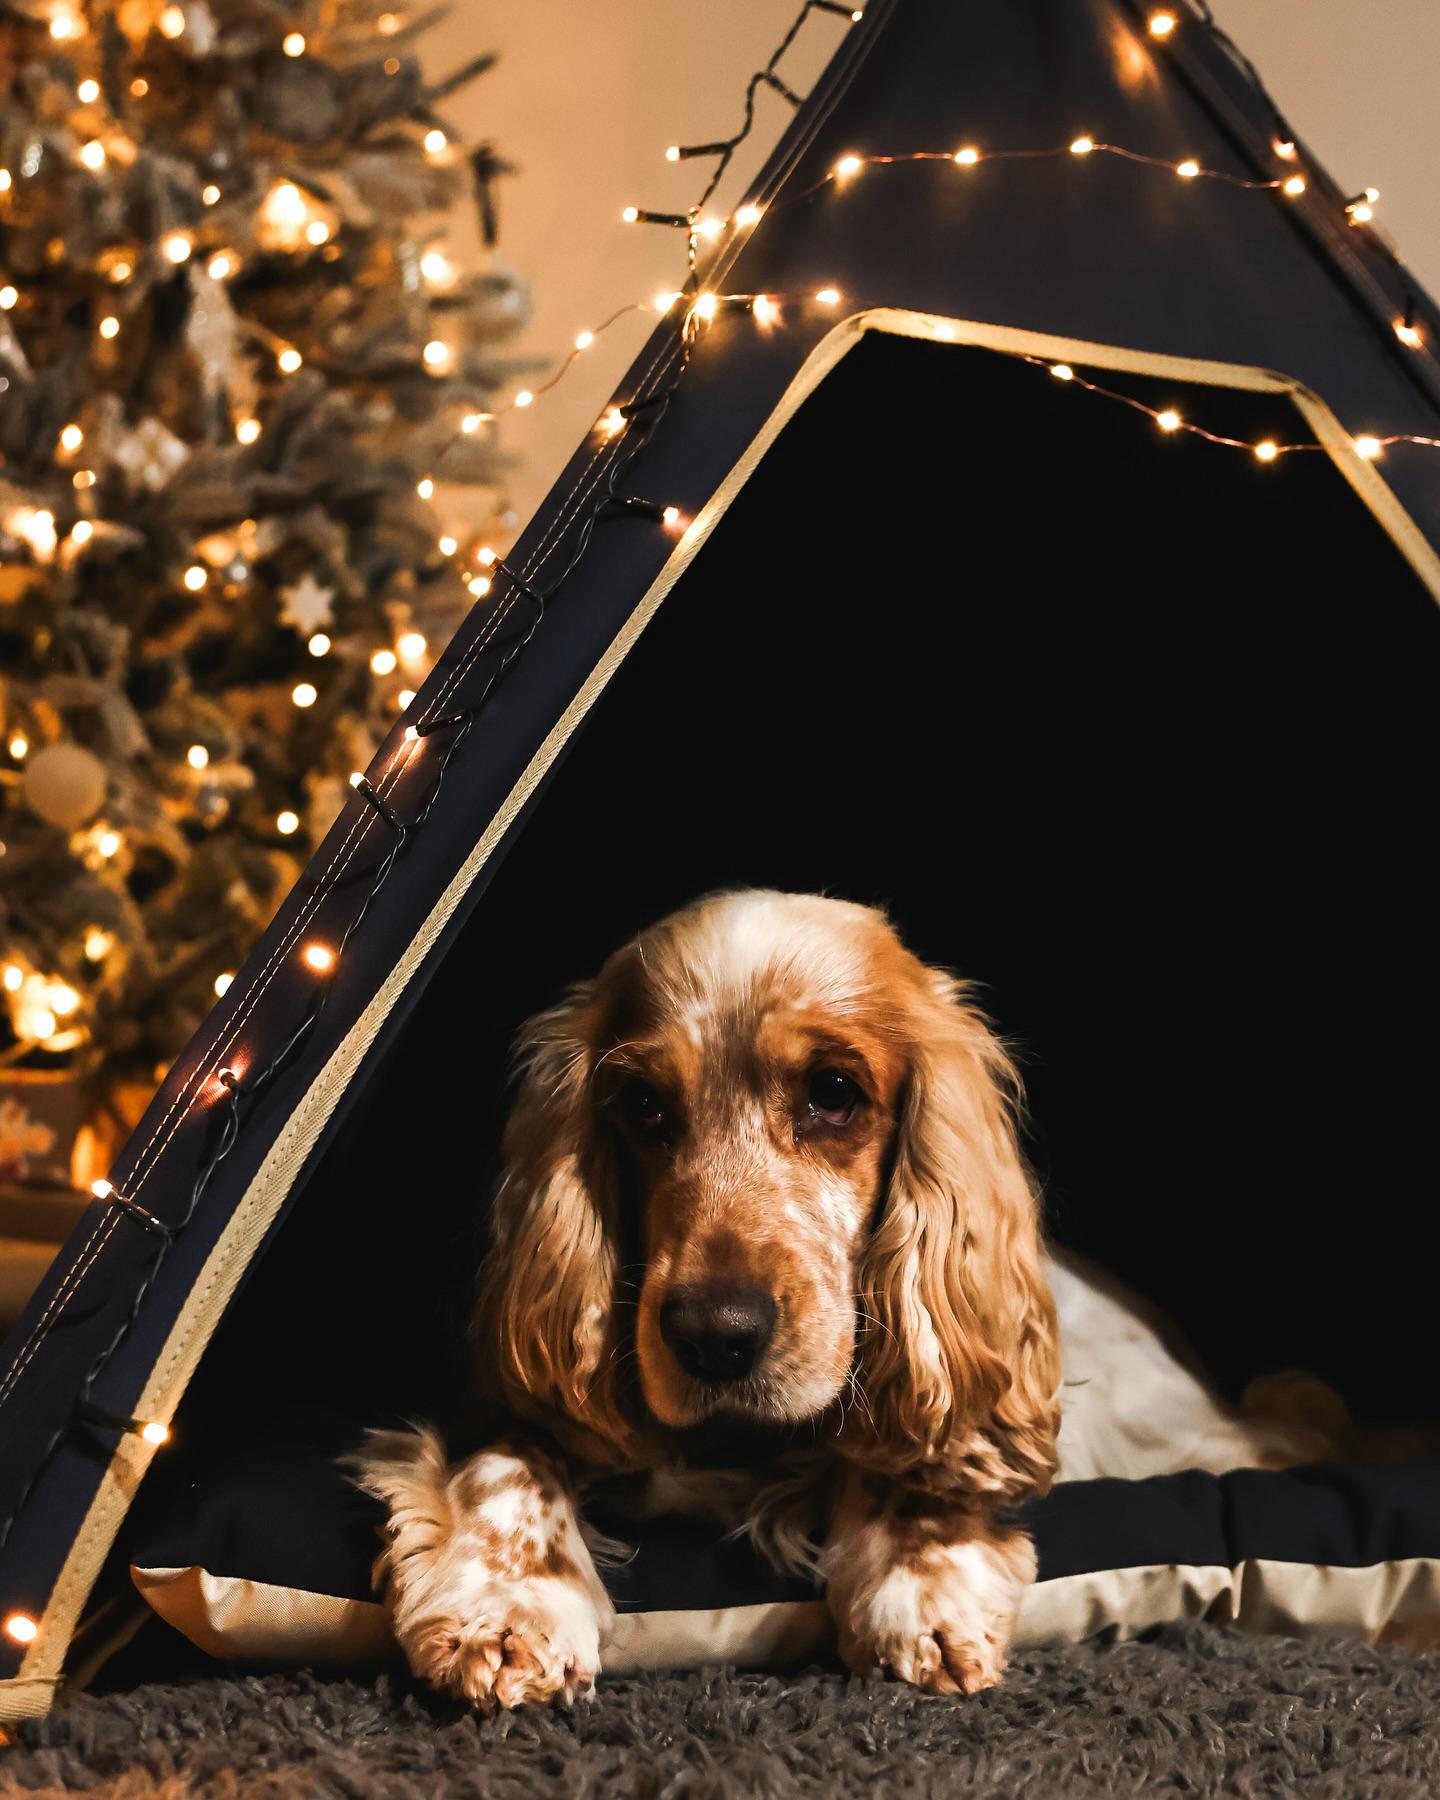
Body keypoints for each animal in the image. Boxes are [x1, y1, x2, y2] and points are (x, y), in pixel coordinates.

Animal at [356, 892, 1324, 1706]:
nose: (714, 1334)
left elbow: (914, 1449)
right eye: (643, 1105)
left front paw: (921, 1587)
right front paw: (508, 1603)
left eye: (833, 1092)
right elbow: (516, 1453)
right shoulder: (508, 1399)